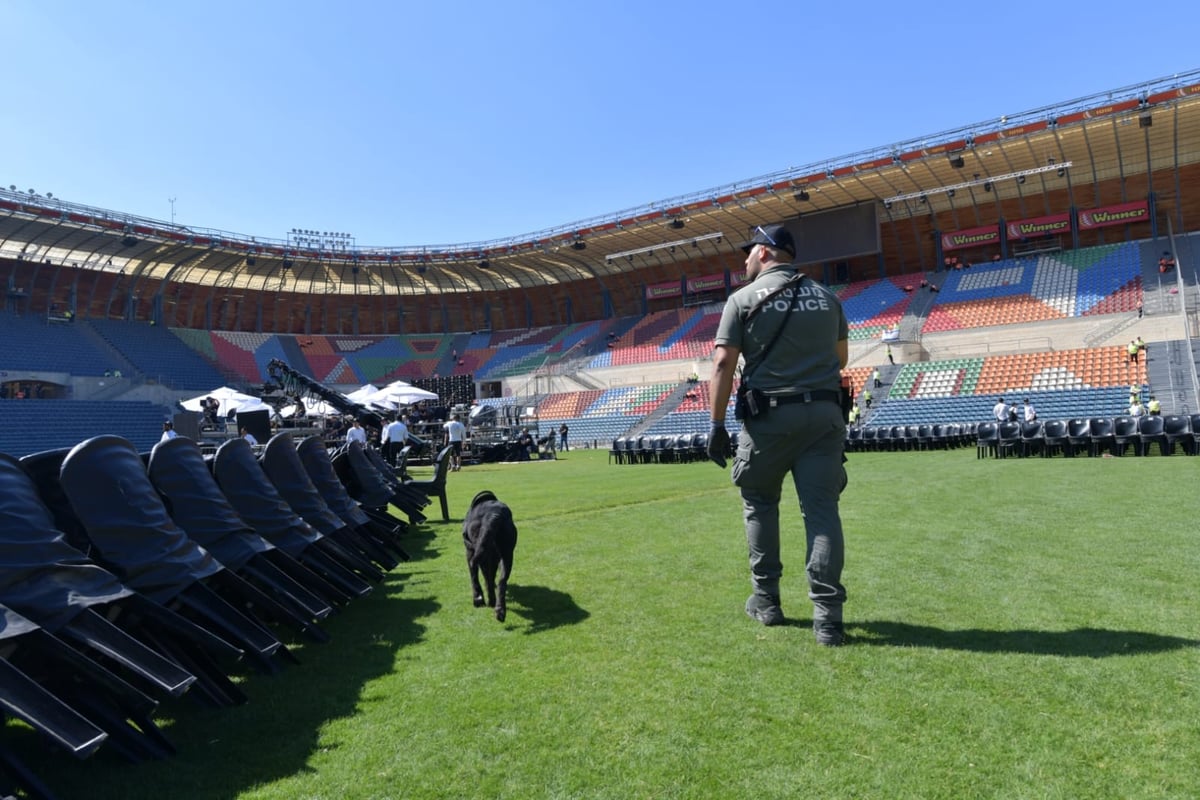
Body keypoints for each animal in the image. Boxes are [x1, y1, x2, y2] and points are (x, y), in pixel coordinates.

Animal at [460, 491, 518, 623]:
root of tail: (492, 515)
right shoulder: (494, 559)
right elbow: (490, 578)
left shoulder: (472, 553)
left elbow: (482, 577)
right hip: (507, 554)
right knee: (502, 581)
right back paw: (499, 609)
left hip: (476, 553)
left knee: (476, 574)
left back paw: (479, 599)